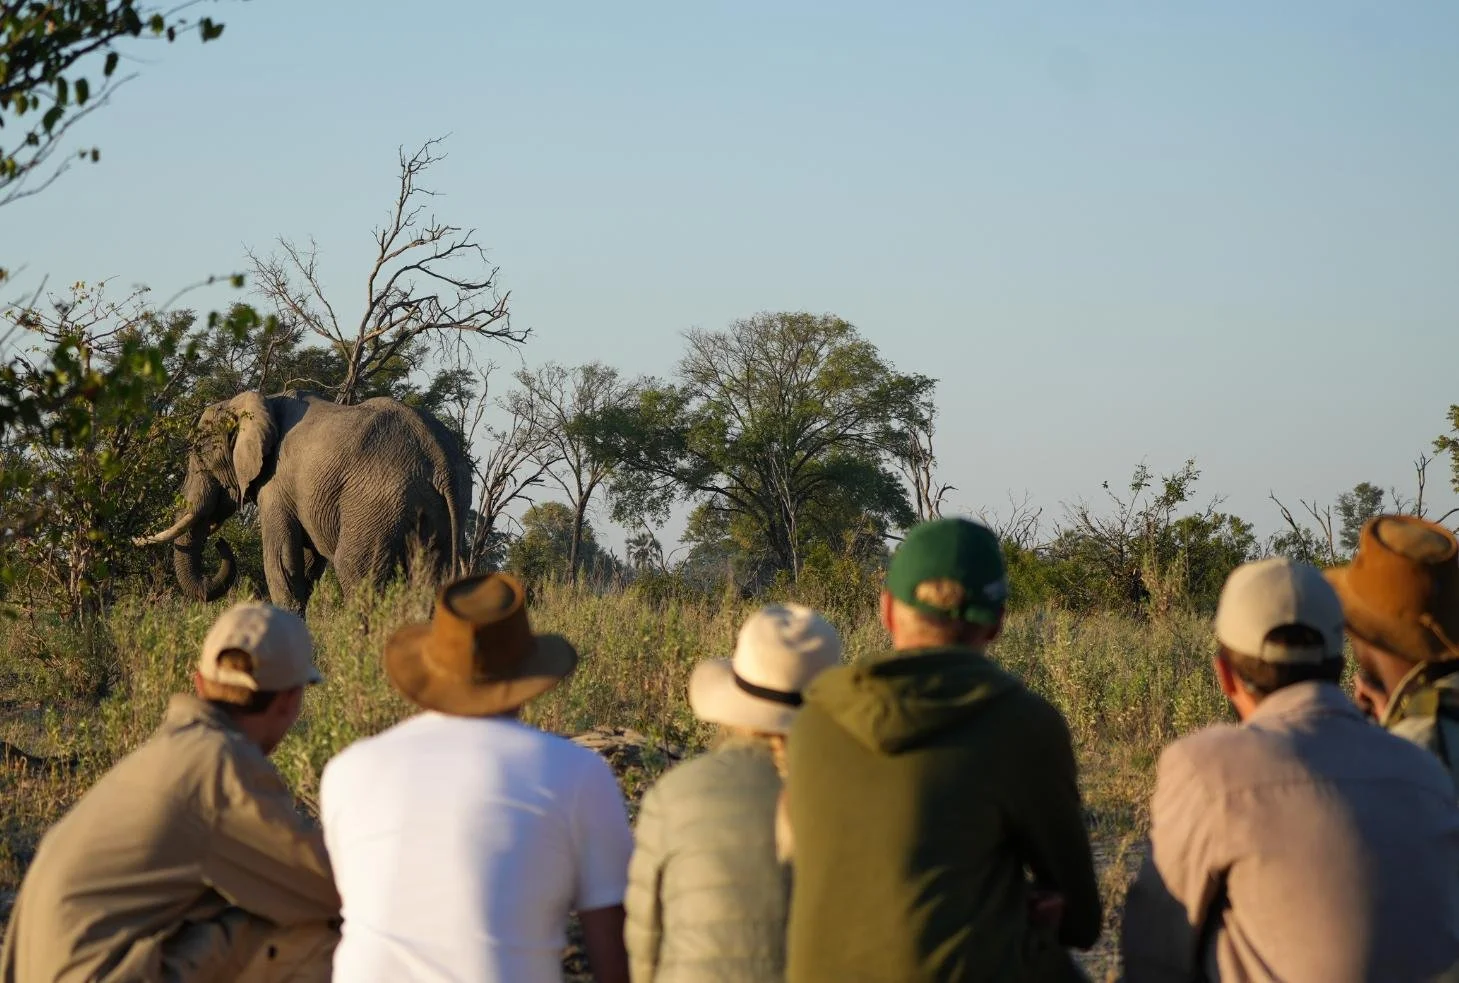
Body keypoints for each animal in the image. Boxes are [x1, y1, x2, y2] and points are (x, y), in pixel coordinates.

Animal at [134, 391, 472, 614]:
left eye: (199, 454)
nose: (220, 542)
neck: (258, 403)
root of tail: (441, 460)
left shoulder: (275, 484)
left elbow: (281, 563)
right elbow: (306, 565)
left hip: (377, 502)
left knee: (355, 572)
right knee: (429, 581)